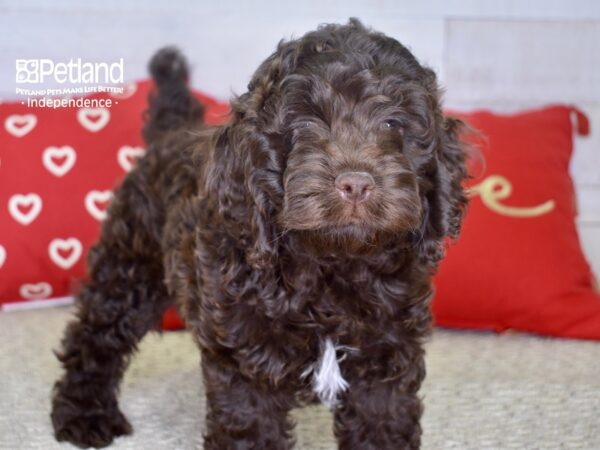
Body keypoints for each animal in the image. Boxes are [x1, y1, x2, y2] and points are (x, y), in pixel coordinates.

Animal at [50, 20, 468, 450]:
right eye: (304, 124)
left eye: (392, 123)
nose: (356, 183)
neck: (332, 266)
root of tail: (171, 134)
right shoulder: (246, 366)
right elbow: (250, 430)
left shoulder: (386, 361)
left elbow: (380, 424)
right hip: (131, 263)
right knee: (96, 335)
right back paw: (84, 415)